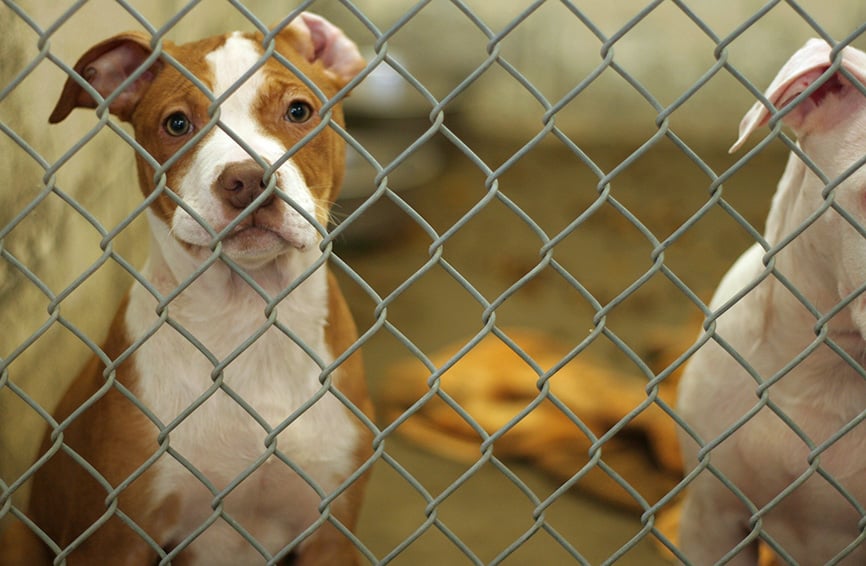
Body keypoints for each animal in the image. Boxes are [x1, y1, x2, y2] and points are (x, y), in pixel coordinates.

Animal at [0, 10, 372, 566]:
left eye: (299, 110)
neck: (247, 317)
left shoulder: (332, 531)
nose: (247, 181)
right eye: (177, 124)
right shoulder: (117, 536)